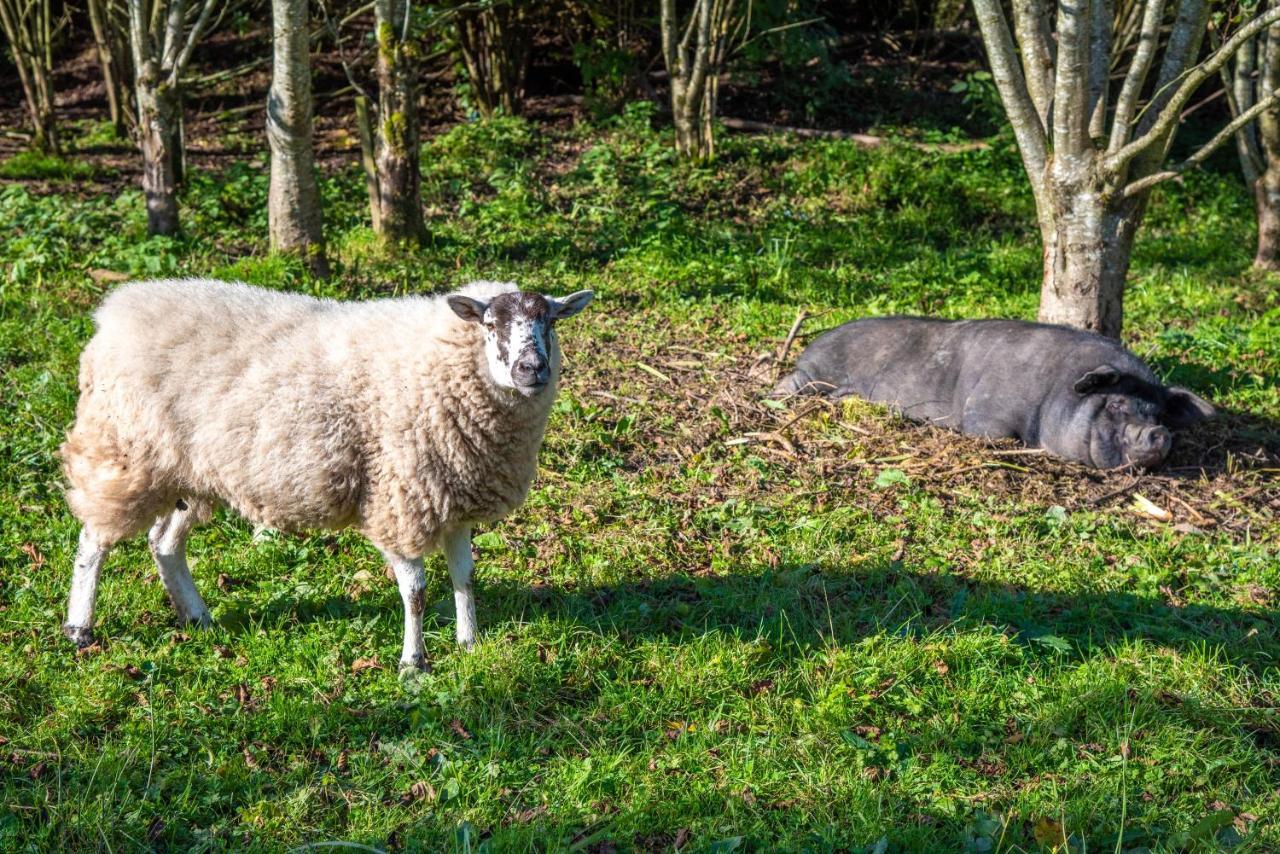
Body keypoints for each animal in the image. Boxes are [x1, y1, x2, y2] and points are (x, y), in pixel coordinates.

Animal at [60, 277, 593, 670]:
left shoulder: (452, 499)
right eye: (490, 324)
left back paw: (198, 617)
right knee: (93, 541)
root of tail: (117, 310)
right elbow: (416, 592)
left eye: (550, 322)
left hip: (190, 473)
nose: (531, 369)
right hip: (124, 452)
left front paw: (470, 643)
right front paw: (413, 661)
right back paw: (79, 628)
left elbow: (465, 576)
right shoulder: (400, 499)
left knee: (164, 543)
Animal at [773, 317, 1213, 471]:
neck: (1053, 391)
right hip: (814, 373)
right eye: (1118, 404)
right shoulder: (987, 415)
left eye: (1157, 413)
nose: (1157, 433)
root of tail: (813, 341)